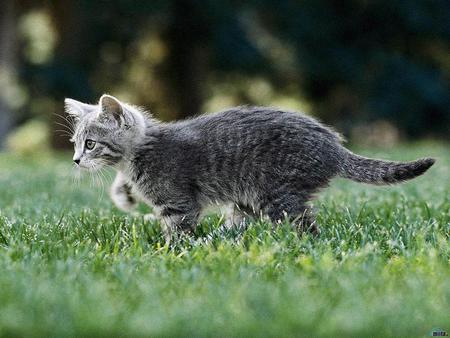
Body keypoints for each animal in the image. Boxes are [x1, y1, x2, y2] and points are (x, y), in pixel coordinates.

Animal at [65, 93, 434, 239]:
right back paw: (219, 239)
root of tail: (334, 146)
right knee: (239, 223)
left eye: (90, 143)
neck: (139, 153)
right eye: (75, 143)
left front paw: (171, 253)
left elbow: (176, 231)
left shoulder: (178, 203)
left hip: (276, 192)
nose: (76, 160)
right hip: (248, 197)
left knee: (307, 227)